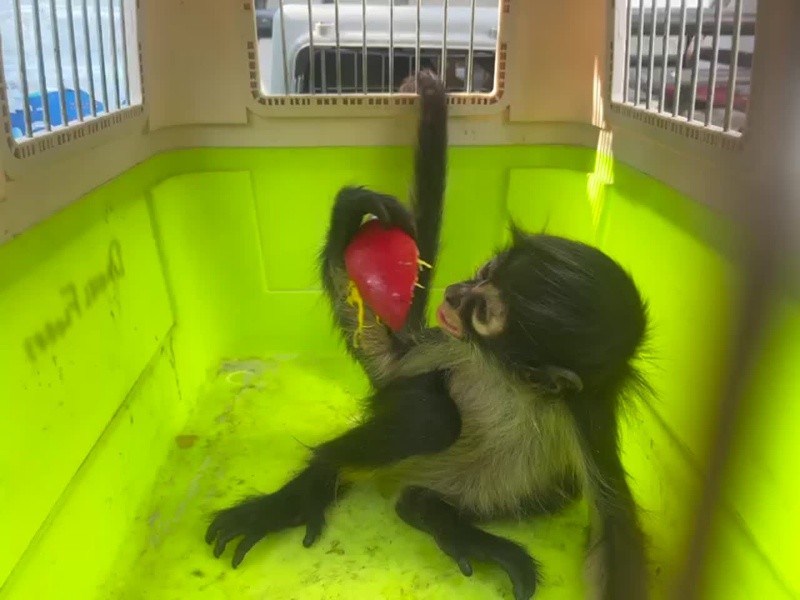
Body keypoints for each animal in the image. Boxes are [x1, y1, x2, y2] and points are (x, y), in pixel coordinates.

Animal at [205, 70, 650, 600]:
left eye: (484, 310)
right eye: (485, 272)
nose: (455, 292)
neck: (506, 378)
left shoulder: (587, 413)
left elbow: (616, 525)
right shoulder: (456, 346)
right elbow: (391, 372)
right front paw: (349, 214)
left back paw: (432, 513)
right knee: (429, 417)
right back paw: (305, 494)